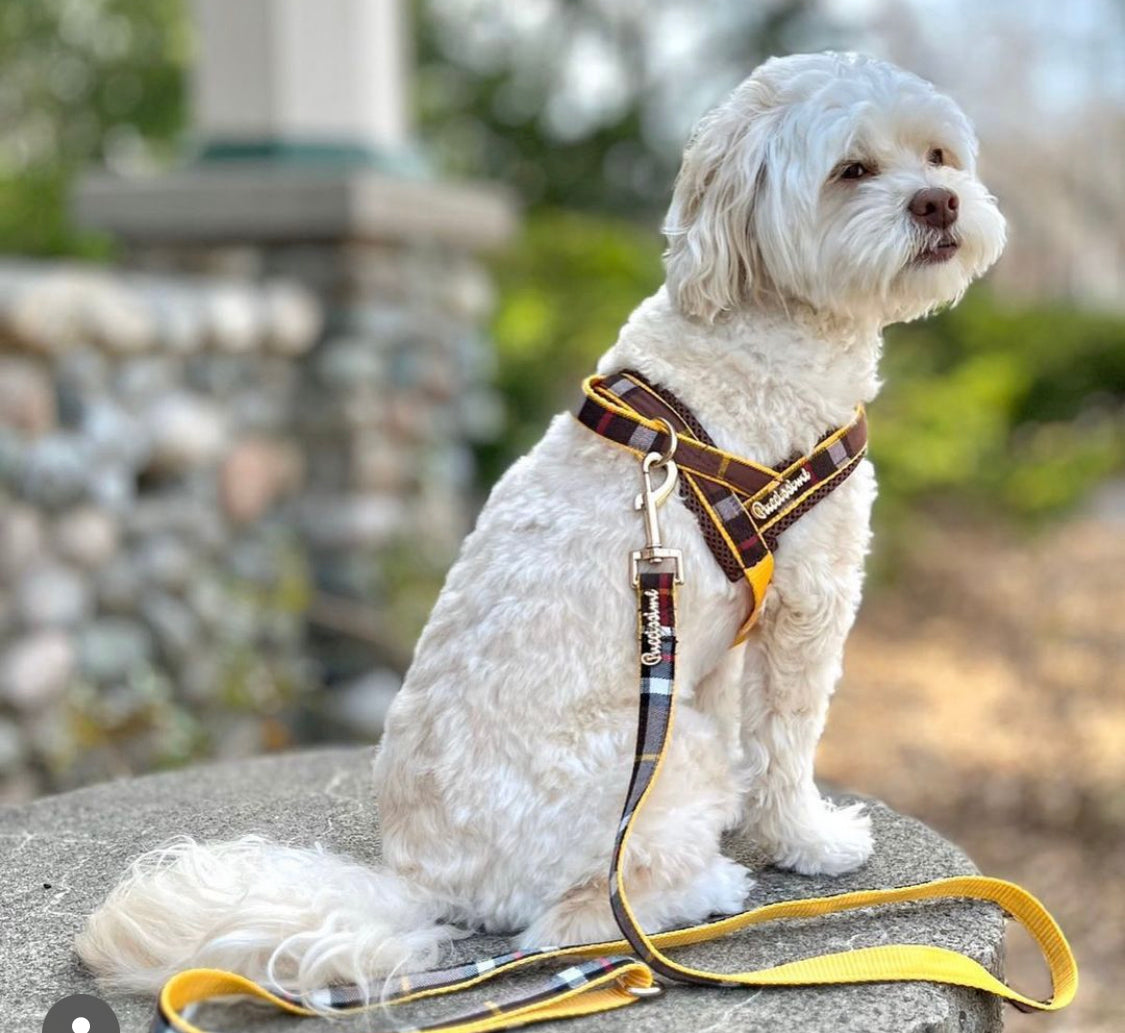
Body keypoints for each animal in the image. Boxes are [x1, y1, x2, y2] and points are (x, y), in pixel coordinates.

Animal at [81, 52, 1012, 1008]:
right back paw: (703, 891)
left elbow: (744, 725)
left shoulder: (710, 640)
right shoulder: (810, 599)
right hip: (662, 764)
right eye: (850, 170)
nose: (938, 202)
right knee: (577, 920)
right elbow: (787, 741)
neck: (760, 321)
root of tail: (426, 880)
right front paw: (808, 840)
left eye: (937, 156)